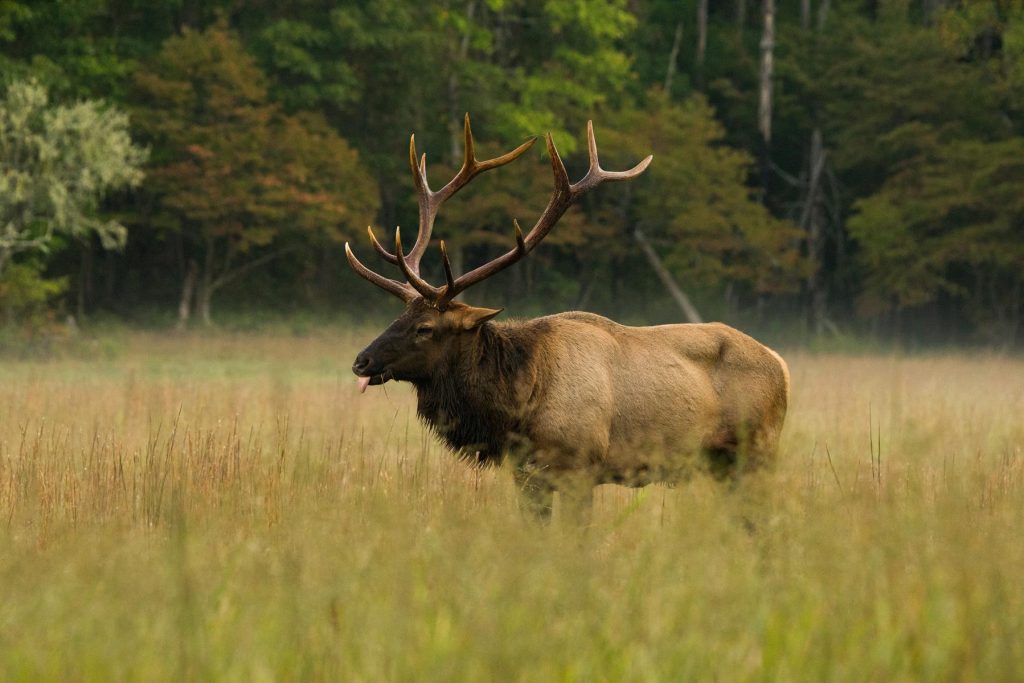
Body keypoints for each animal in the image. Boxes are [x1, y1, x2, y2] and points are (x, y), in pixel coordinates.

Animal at [348, 114, 786, 520]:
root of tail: (781, 364)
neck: (517, 405)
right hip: (722, 465)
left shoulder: (581, 467)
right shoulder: (526, 476)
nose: (361, 361)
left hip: (757, 452)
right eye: (400, 315)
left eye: (425, 328)